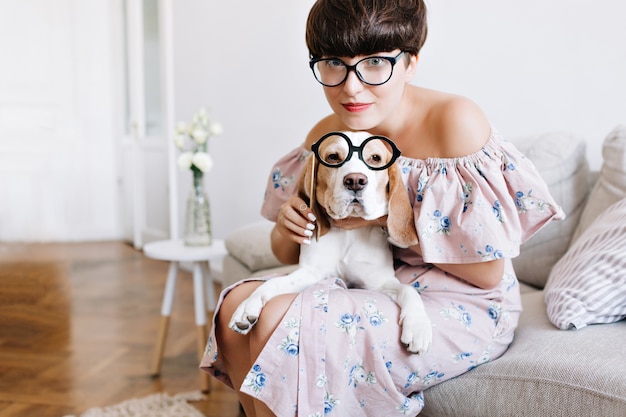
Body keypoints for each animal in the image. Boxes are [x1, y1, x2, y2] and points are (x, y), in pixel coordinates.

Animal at [230, 132, 434, 352]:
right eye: (333, 157)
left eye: (375, 158)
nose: (355, 181)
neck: (349, 233)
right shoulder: (310, 273)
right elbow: (272, 283)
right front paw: (249, 304)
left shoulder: (379, 283)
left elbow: (408, 290)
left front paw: (418, 325)